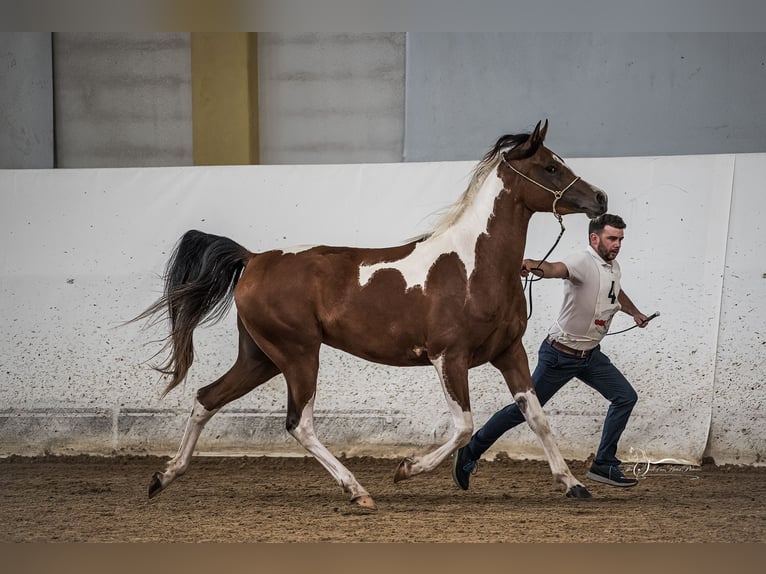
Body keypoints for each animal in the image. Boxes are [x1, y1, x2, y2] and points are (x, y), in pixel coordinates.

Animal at [135, 120, 607, 509]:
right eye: (549, 167)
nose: (600, 198)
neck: (473, 264)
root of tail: (253, 260)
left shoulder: (509, 353)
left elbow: (536, 417)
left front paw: (573, 484)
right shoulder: (448, 358)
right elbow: (463, 425)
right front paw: (406, 469)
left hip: (261, 357)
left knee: (206, 398)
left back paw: (164, 477)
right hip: (298, 355)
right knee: (299, 423)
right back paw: (358, 491)